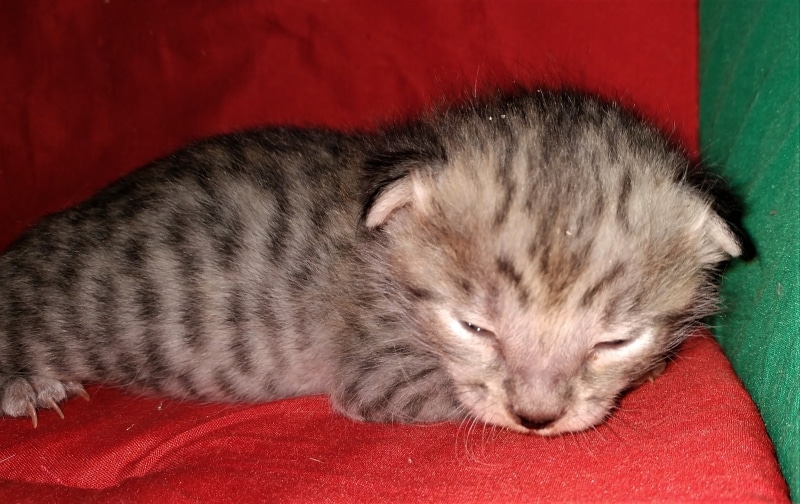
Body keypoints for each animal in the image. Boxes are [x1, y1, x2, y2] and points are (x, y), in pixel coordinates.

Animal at [0, 88, 743, 435]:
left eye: (614, 340)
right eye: (475, 327)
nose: (537, 417)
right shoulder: (379, 373)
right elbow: (454, 397)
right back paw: (28, 387)